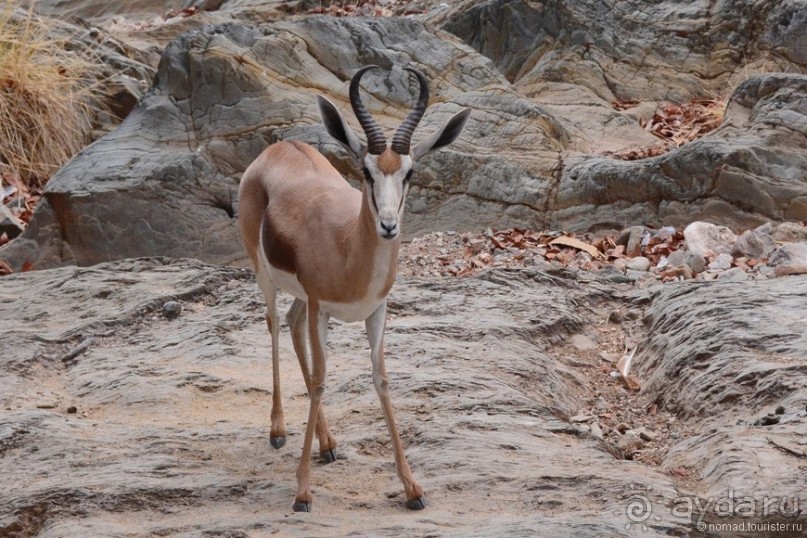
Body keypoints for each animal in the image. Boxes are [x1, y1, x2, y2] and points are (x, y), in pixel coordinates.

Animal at [237, 65, 470, 508]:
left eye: (409, 173)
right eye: (366, 171)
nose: (388, 225)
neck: (348, 248)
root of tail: (283, 146)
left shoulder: (375, 310)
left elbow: (380, 380)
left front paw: (412, 487)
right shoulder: (321, 306)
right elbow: (320, 381)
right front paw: (303, 493)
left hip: (302, 301)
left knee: (291, 325)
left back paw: (328, 444)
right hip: (265, 275)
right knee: (274, 324)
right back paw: (278, 430)